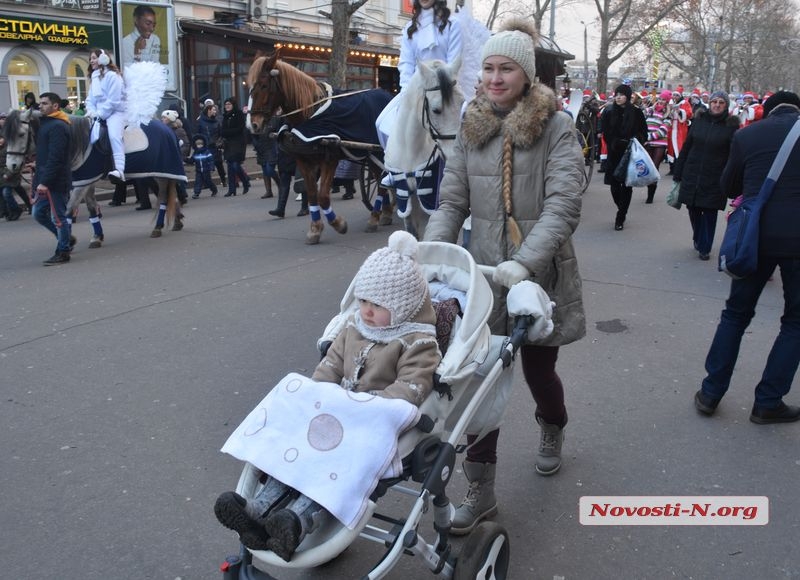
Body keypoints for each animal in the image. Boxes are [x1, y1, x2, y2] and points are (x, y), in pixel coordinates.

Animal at [245, 52, 392, 245]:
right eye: (249, 86)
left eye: (263, 85)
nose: (253, 125)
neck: (311, 113)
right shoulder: (303, 160)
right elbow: (312, 193)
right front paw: (315, 229)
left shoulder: (329, 159)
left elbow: (323, 196)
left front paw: (338, 224)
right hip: (373, 155)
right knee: (381, 178)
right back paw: (386, 213)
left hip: (379, 152)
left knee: (383, 180)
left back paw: (375, 218)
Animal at [384, 59, 466, 240]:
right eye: (436, 109)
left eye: (462, 102)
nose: (457, 153)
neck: (410, 152)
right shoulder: (405, 198)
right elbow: (413, 234)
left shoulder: (432, 199)